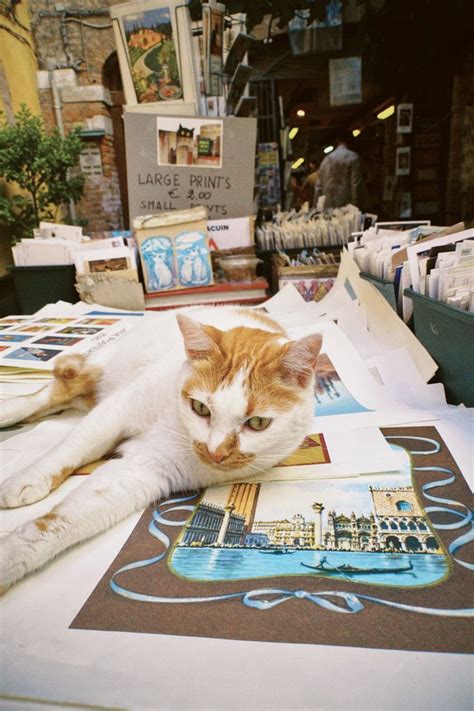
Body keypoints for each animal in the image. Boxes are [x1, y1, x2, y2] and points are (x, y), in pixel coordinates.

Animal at [0, 306, 322, 588]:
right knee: (52, 392)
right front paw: (28, 478)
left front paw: (10, 557)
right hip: (103, 366)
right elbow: (72, 447)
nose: (216, 452)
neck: (175, 419)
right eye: (200, 408)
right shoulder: (119, 409)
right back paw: (10, 410)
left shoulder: (147, 469)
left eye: (257, 423)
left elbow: (60, 522)